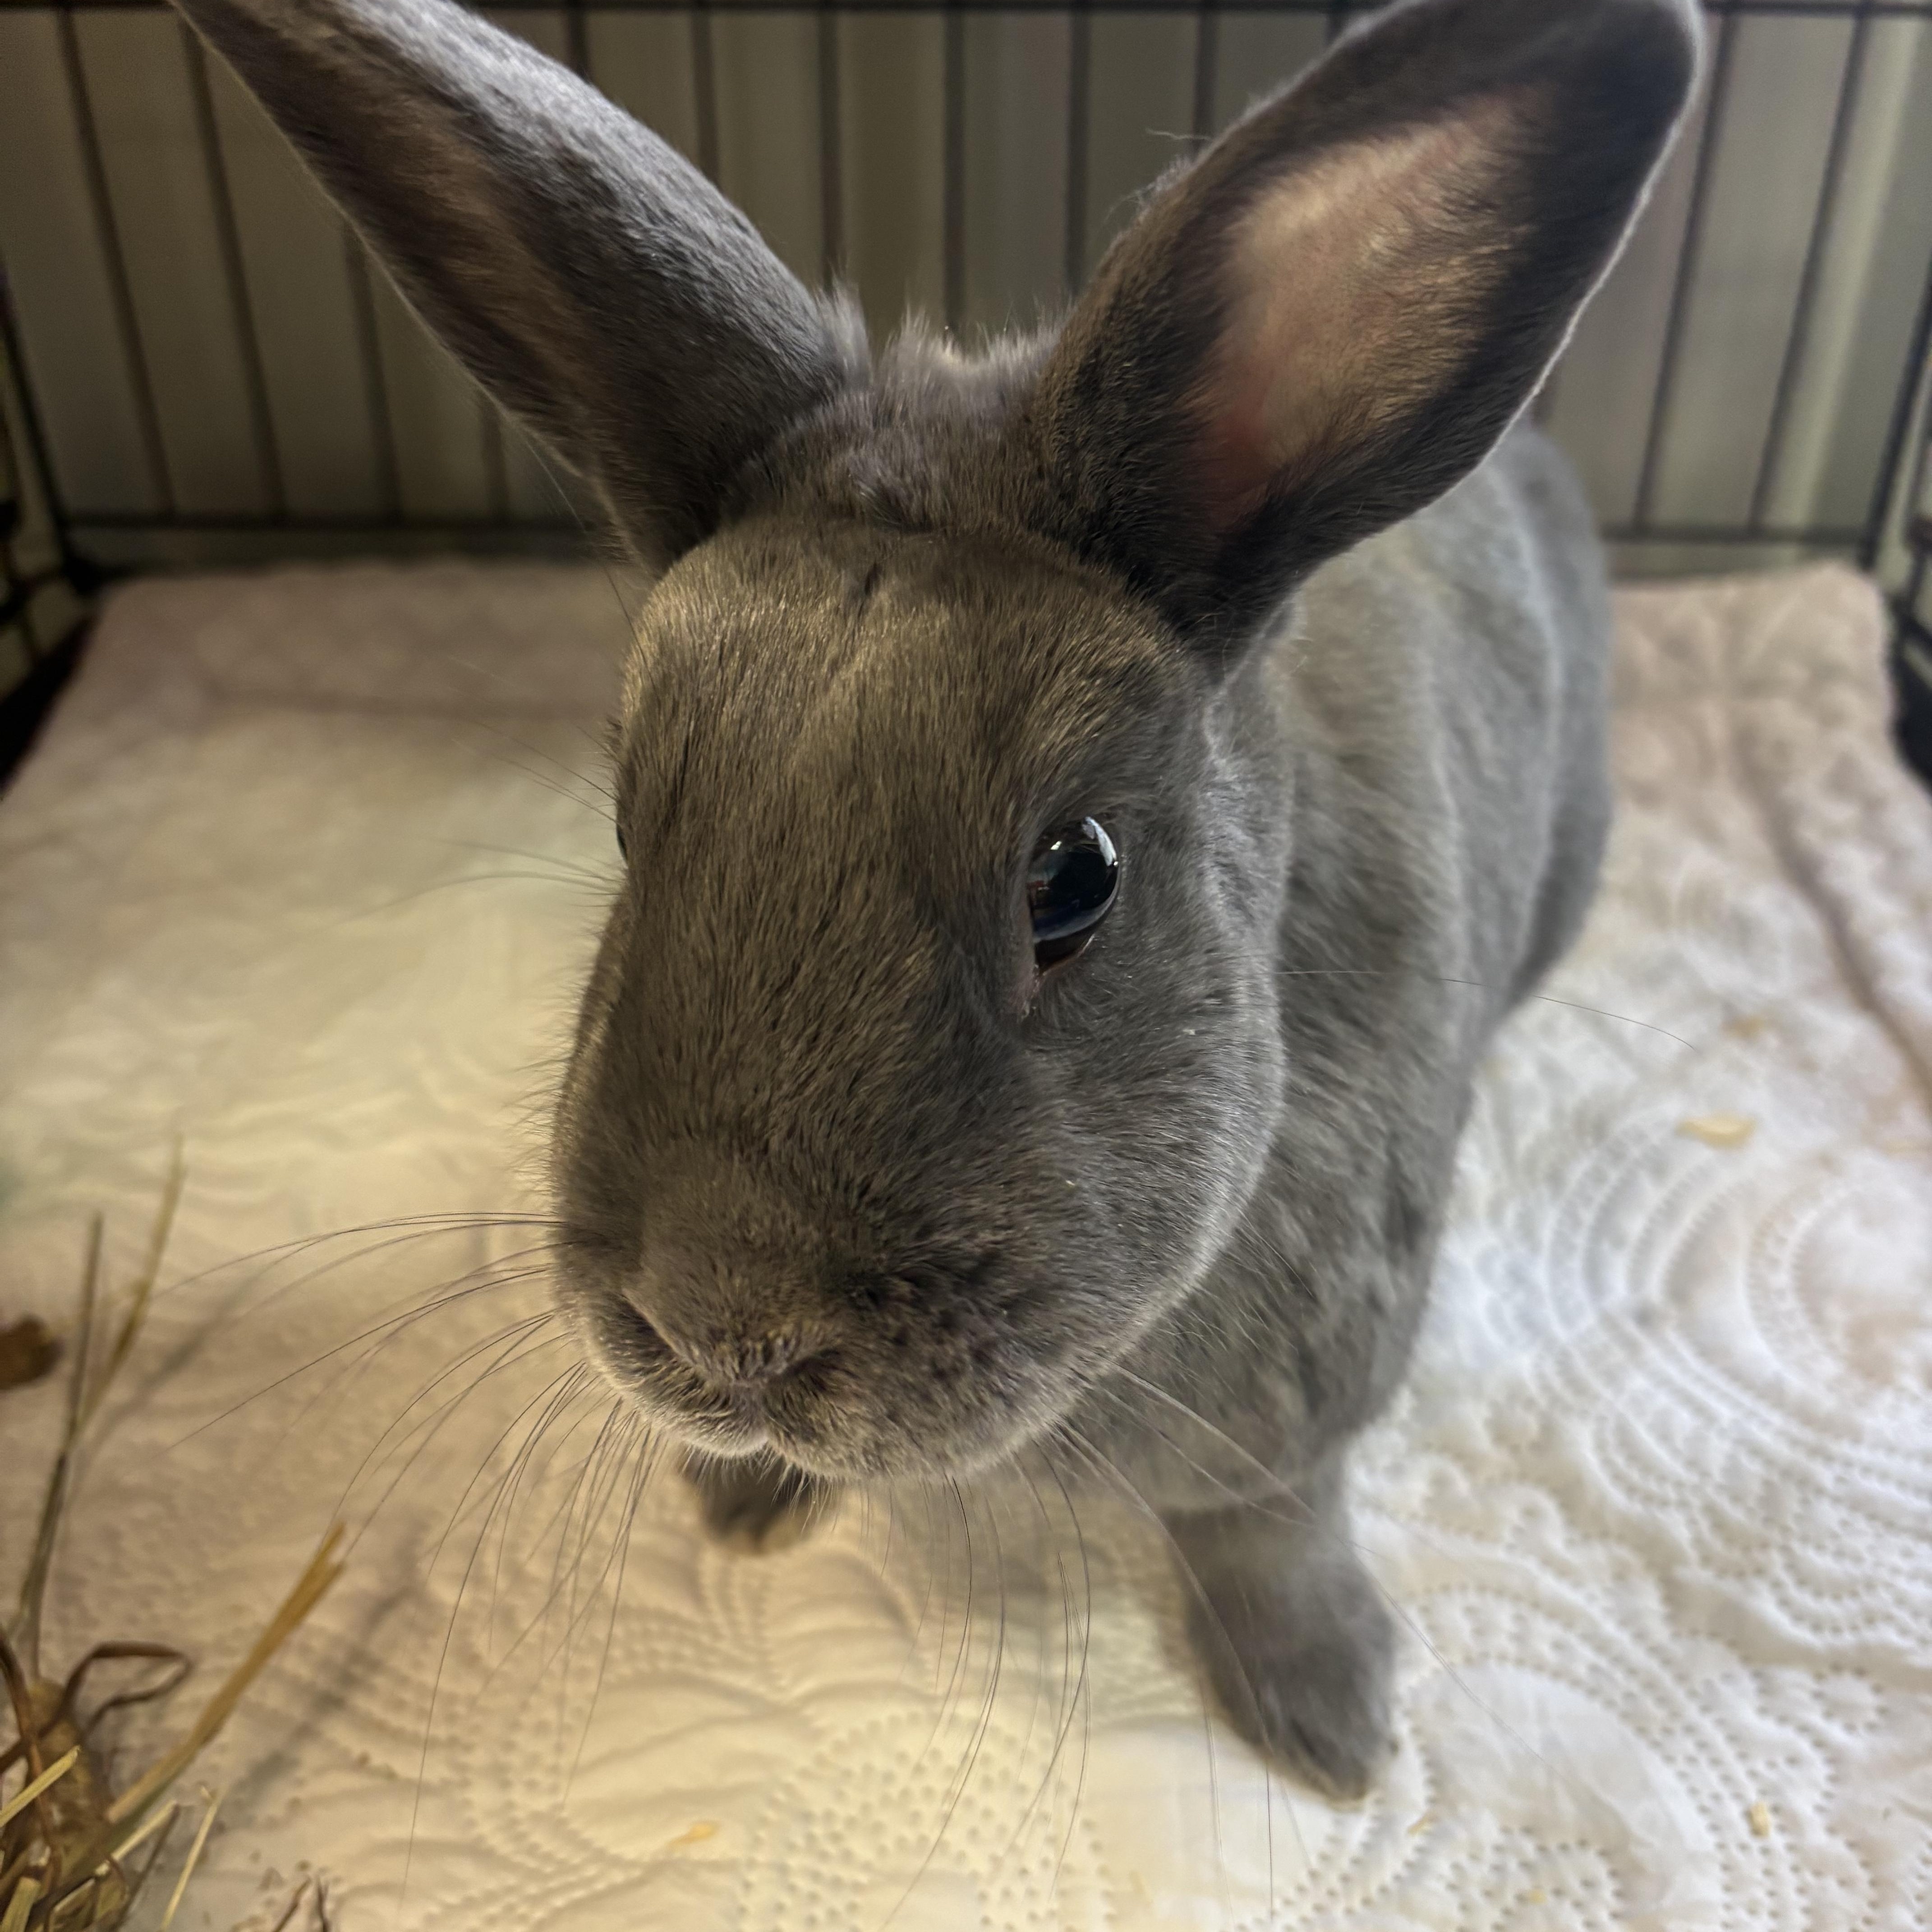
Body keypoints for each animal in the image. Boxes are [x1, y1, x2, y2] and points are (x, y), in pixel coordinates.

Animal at [173, 0, 1699, 1799]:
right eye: (630, 818)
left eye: (1075, 876)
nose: (727, 1331)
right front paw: (742, 1501)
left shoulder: (1306, 1405)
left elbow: (1271, 1531)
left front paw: (1327, 1725)